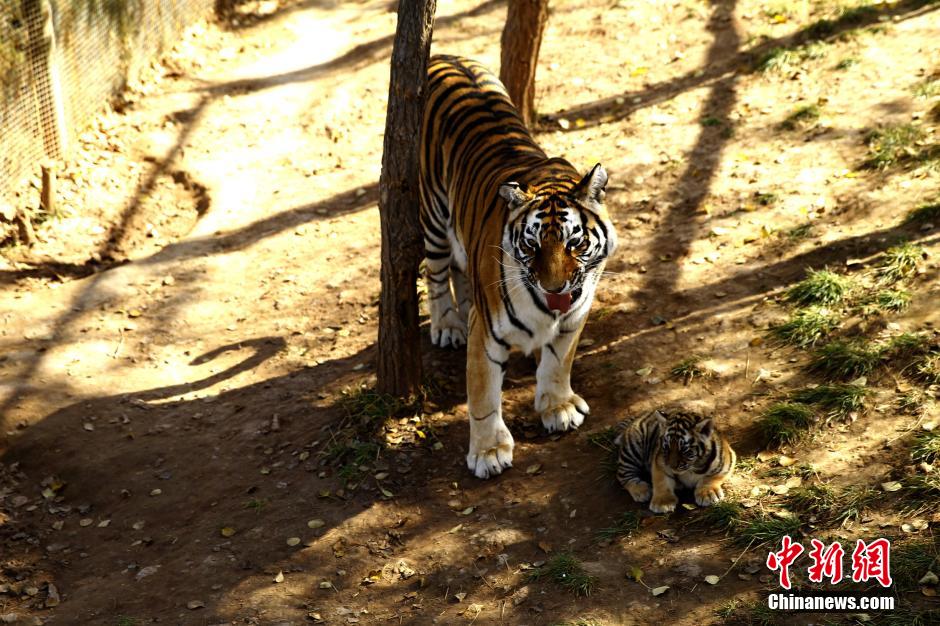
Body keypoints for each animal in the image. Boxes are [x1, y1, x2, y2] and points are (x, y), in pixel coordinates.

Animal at [418, 57, 616, 478]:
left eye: (575, 243)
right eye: (531, 245)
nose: (556, 288)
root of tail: (444, 57)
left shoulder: (575, 315)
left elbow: (559, 362)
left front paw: (558, 406)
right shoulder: (486, 332)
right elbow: (482, 395)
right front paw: (488, 452)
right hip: (434, 216)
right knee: (437, 274)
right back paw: (447, 325)